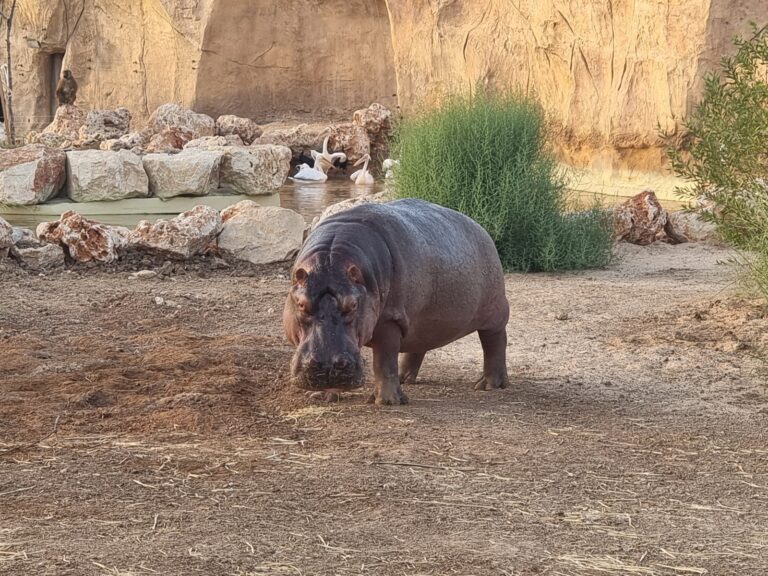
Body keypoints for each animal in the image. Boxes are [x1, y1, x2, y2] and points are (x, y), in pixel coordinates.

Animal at [283, 199, 510, 405]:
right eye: (301, 304)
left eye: (354, 305)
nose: (327, 365)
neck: (332, 258)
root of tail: (480, 228)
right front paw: (321, 397)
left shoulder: (389, 320)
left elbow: (384, 360)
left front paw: (387, 401)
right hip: (420, 319)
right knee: (418, 344)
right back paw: (405, 378)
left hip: (495, 311)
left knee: (494, 342)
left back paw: (489, 385)